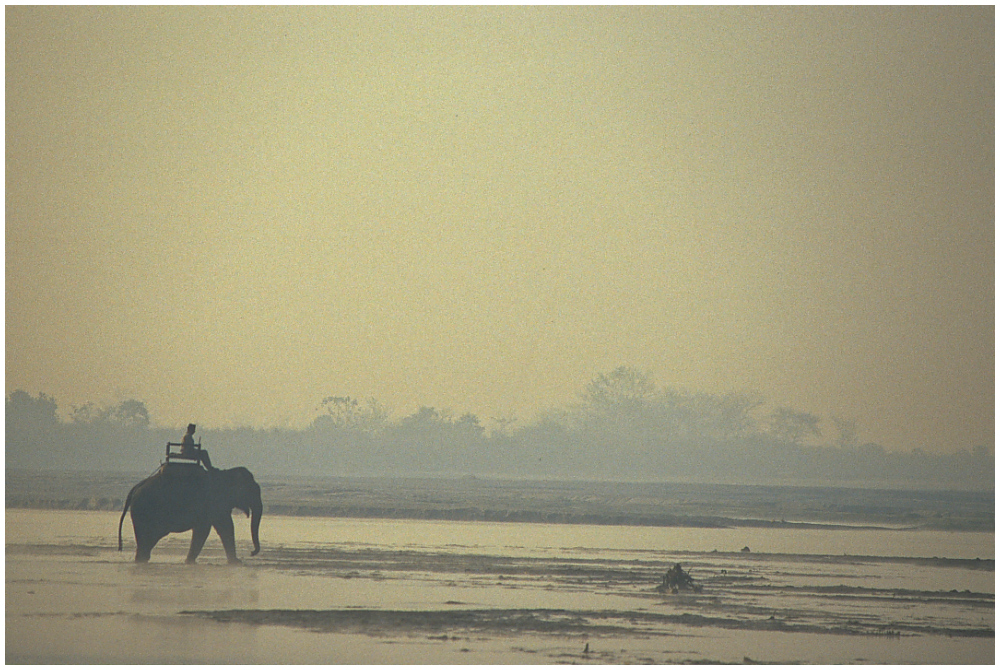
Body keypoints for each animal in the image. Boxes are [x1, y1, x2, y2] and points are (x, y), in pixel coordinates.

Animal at [116, 464, 262, 564]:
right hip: (145, 510)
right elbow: (219, 528)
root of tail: (136, 487)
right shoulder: (214, 503)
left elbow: (212, 529)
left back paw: (141, 560)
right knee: (151, 536)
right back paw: (142, 560)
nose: (252, 553)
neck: (225, 473)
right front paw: (236, 562)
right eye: (252, 490)